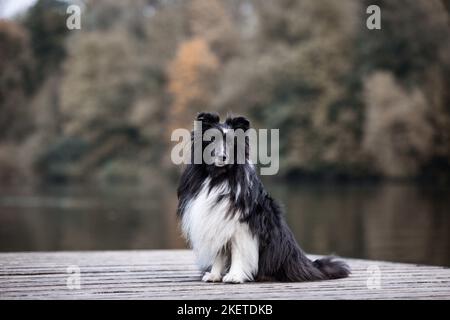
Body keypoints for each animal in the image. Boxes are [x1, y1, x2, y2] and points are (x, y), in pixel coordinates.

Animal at [177, 112, 352, 282]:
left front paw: (234, 276)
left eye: (232, 143)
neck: (218, 177)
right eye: (212, 140)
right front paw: (214, 275)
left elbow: (238, 252)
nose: (223, 157)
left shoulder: (240, 226)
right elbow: (219, 253)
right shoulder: (217, 222)